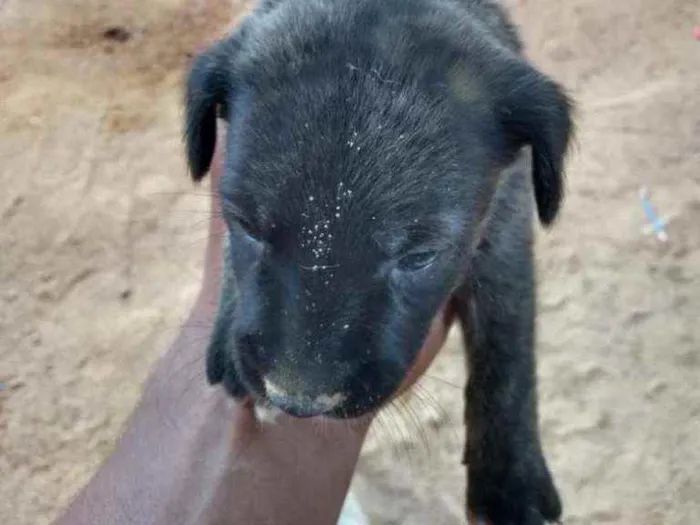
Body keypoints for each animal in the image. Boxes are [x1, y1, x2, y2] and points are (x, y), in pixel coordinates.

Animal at [185, 2, 576, 520]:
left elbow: (508, 345)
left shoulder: (506, 221)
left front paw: (511, 482)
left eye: (419, 257)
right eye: (246, 225)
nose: (297, 400)